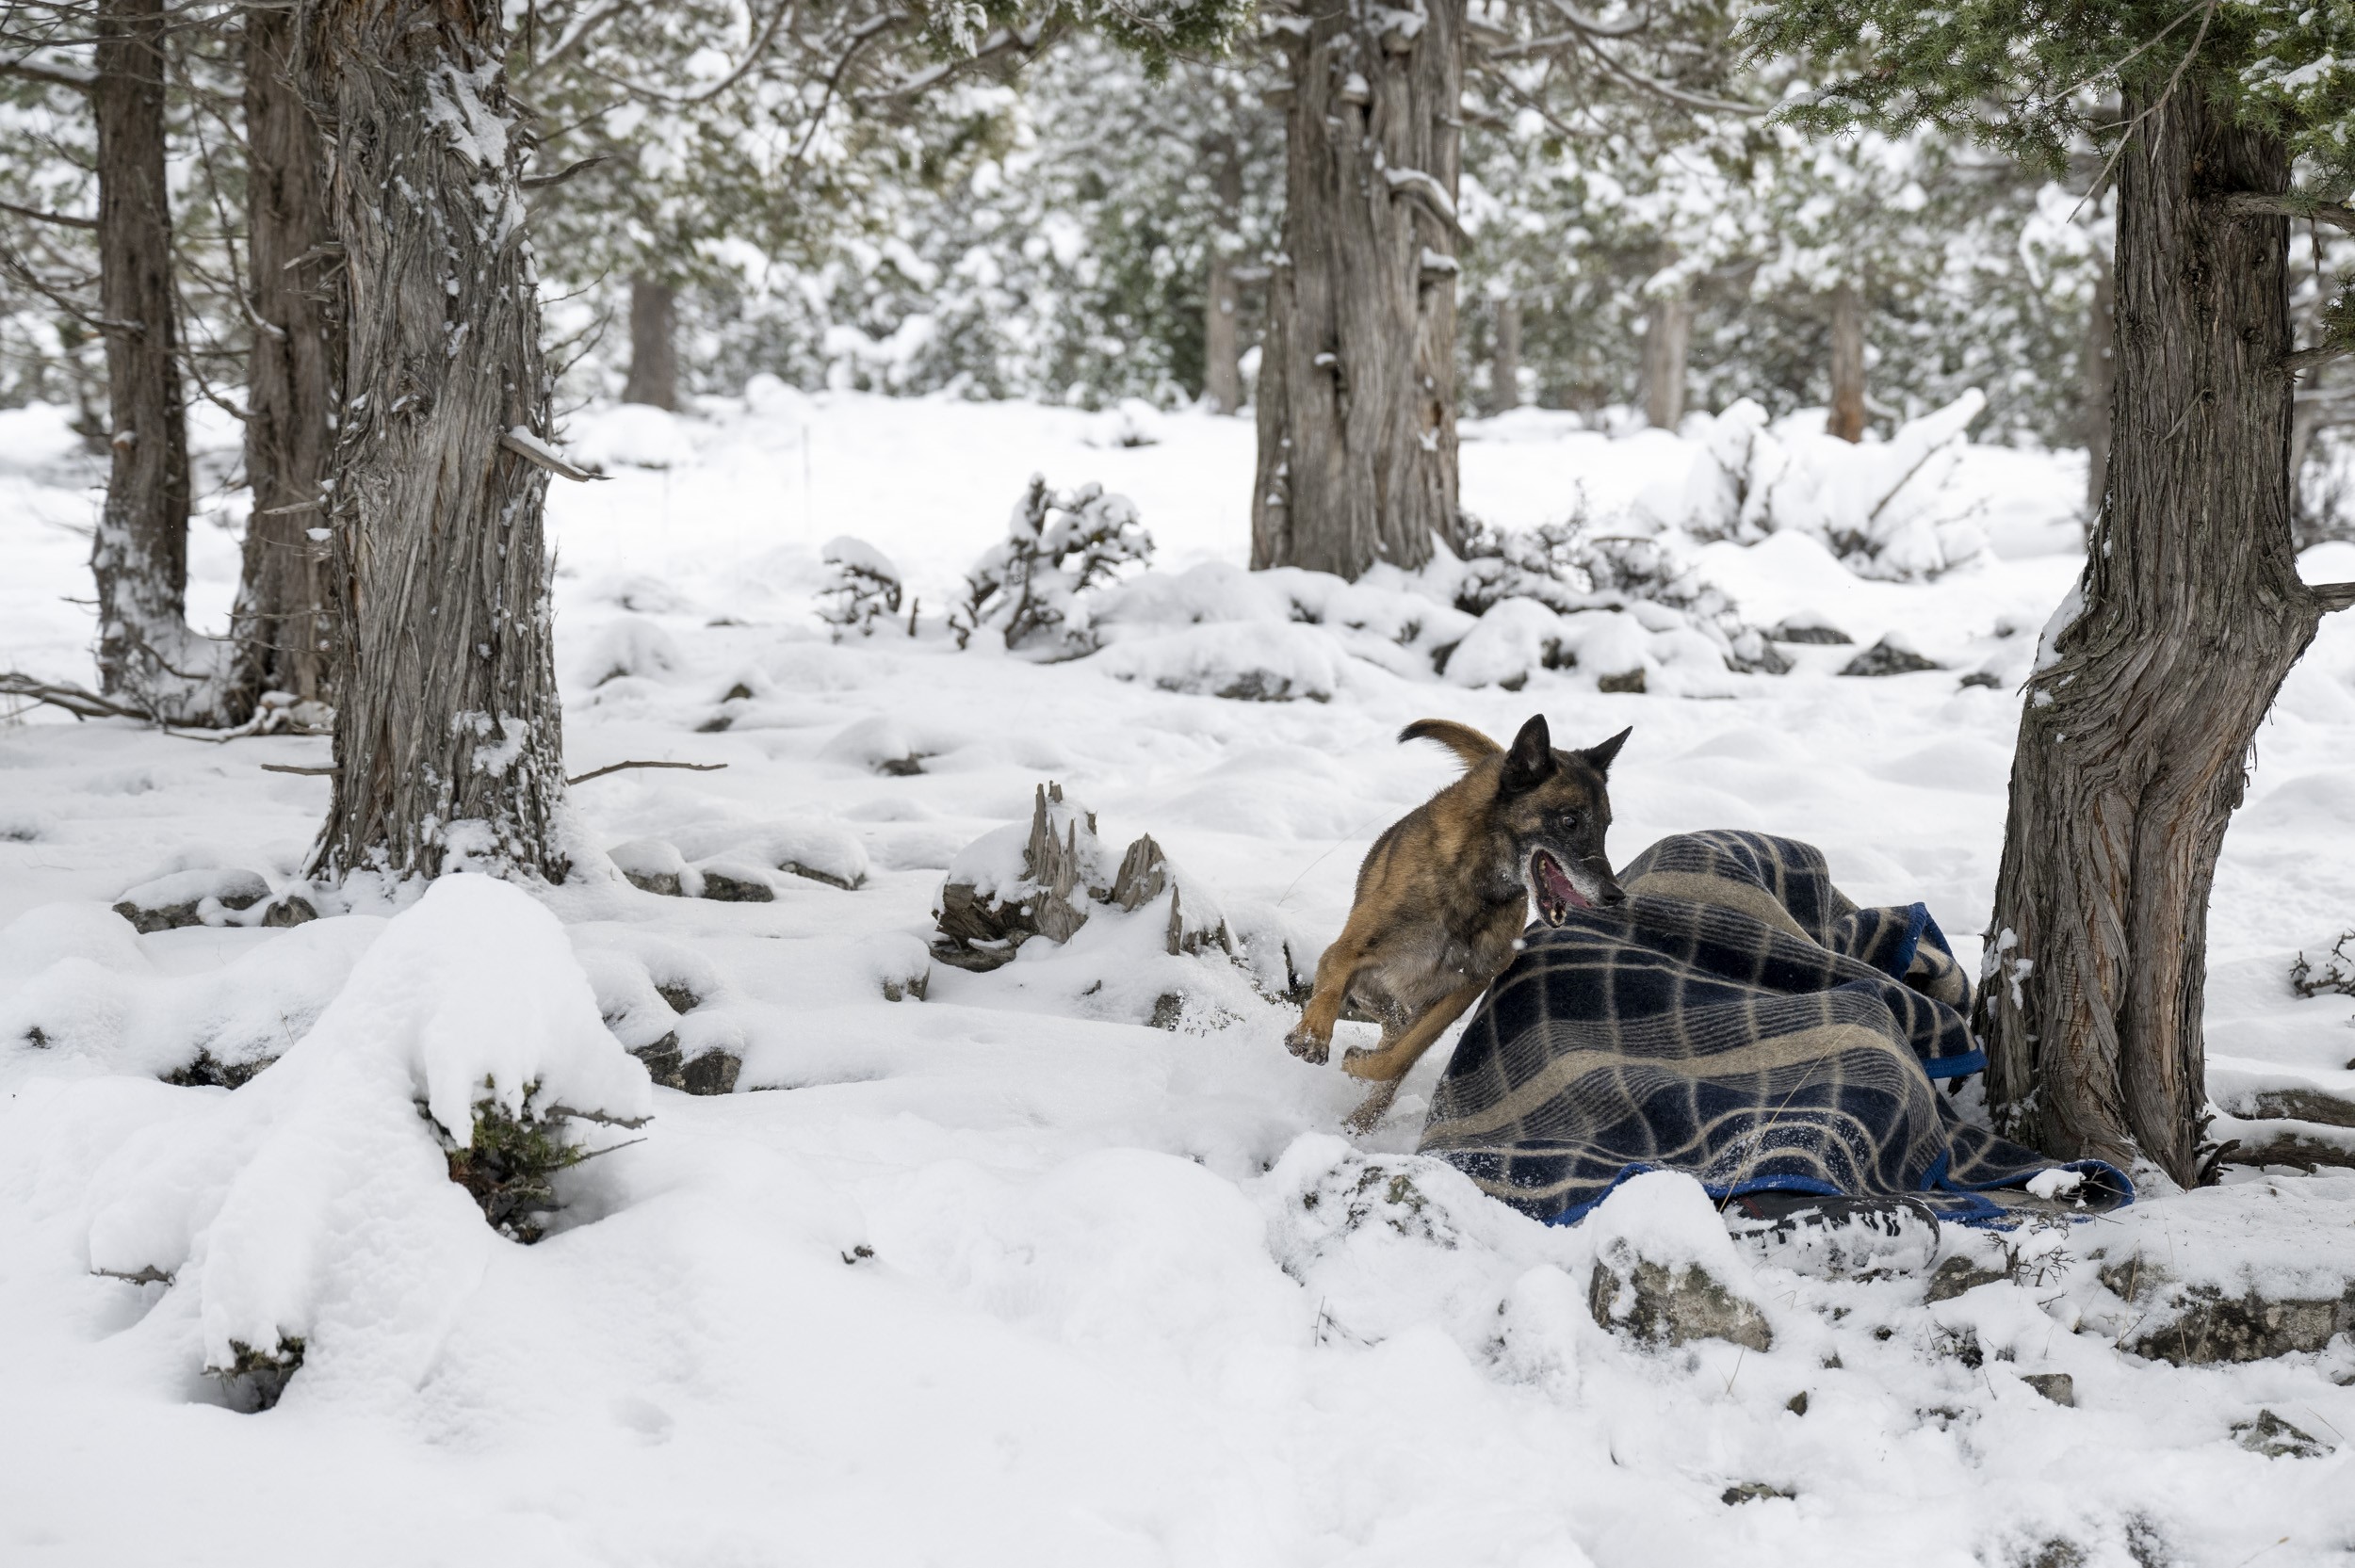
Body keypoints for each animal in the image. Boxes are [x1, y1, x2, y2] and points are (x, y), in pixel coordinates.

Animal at [1281, 716, 1630, 1130]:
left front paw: (1360, 1062)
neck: (1475, 890)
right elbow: (1331, 986)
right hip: (1372, 990)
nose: (1615, 894)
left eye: (1606, 828)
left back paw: (1361, 1120)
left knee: (1396, 1041)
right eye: (1569, 820)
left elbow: (1400, 1056)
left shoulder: (1463, 988)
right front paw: (1312, 1035)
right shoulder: (1349, 954)